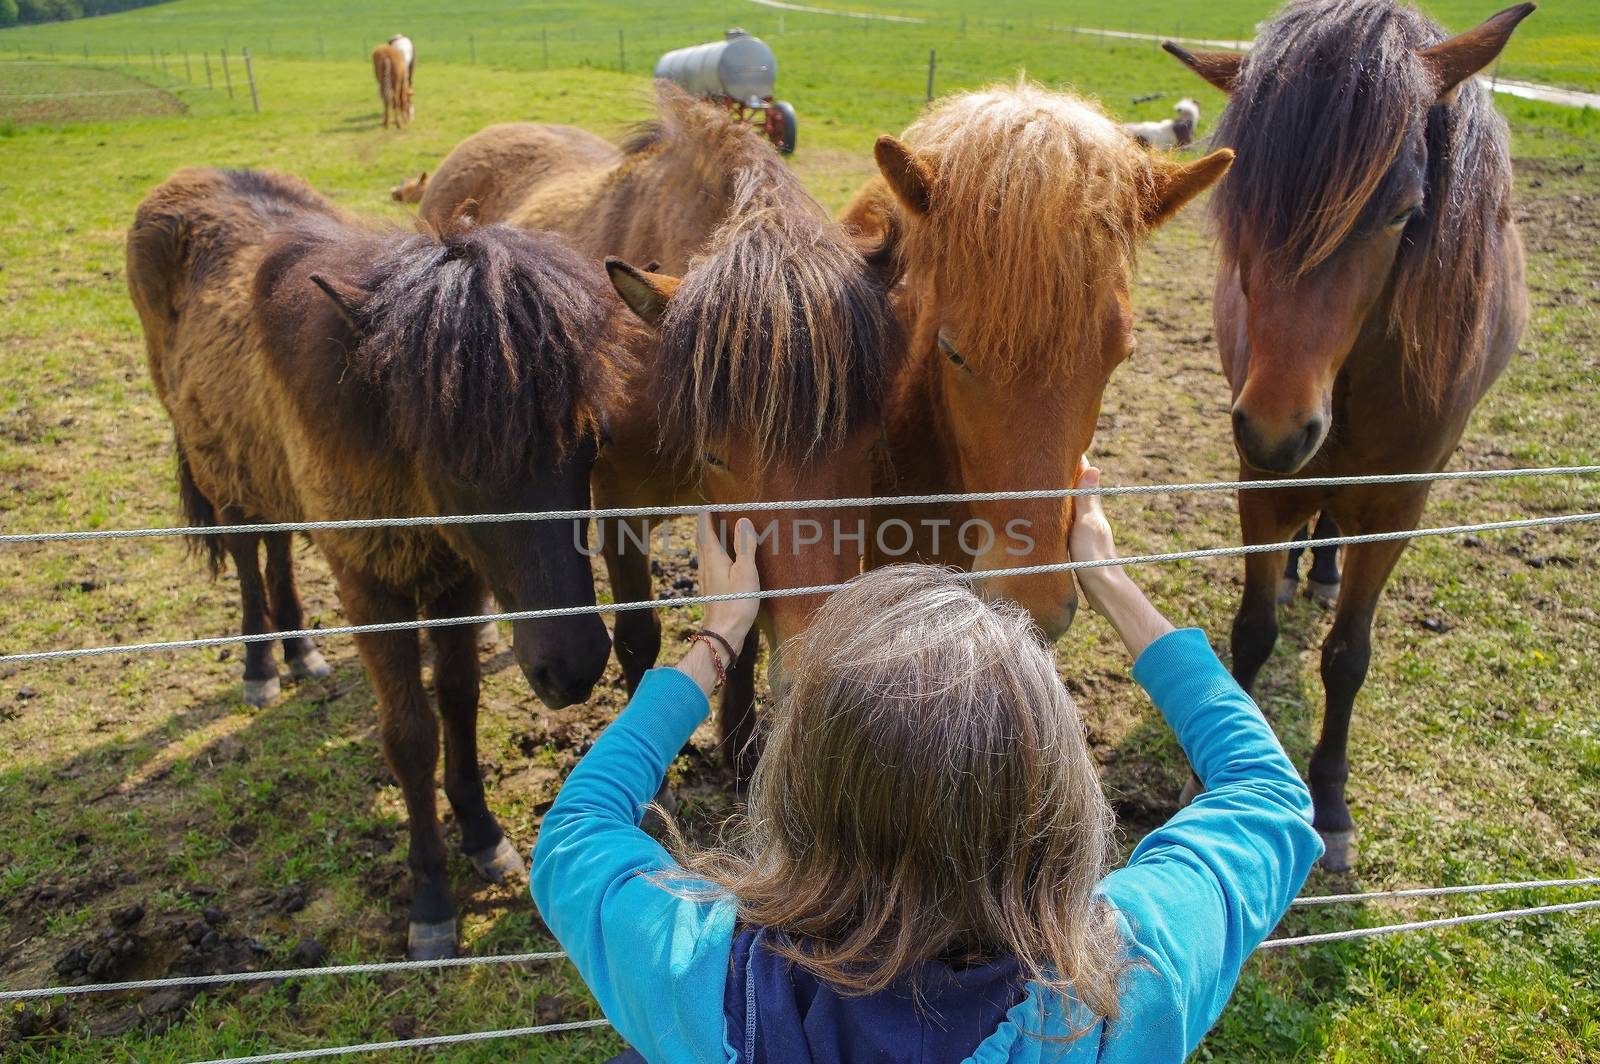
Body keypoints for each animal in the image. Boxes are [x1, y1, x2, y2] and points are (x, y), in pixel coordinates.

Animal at [124, 166, 630, 953]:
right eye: (457, 463)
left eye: (591, 441)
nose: (572, 668)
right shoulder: (371, 589)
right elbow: (411, 735)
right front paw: (430, 897)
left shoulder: (456, 581)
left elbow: (459, 700)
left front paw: (483, 836)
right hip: (222, 470)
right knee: (247, 553)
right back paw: (260, 665)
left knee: (277, 546)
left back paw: (300, 651)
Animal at [425, 83, 902, 777]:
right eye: (717, 454)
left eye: (870, 446)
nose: (816, 671)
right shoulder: (619, 505)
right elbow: (637, 639)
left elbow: (744, 629)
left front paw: (739, 749)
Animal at [1164, 0, 1536, 870]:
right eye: (1241, 205)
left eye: (1403, 211)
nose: (1276, 426)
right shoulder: (1259, 483)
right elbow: (1252, 632)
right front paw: (1214, 787)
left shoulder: (1399, 506)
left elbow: (1348, 656)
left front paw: (1329, 802)